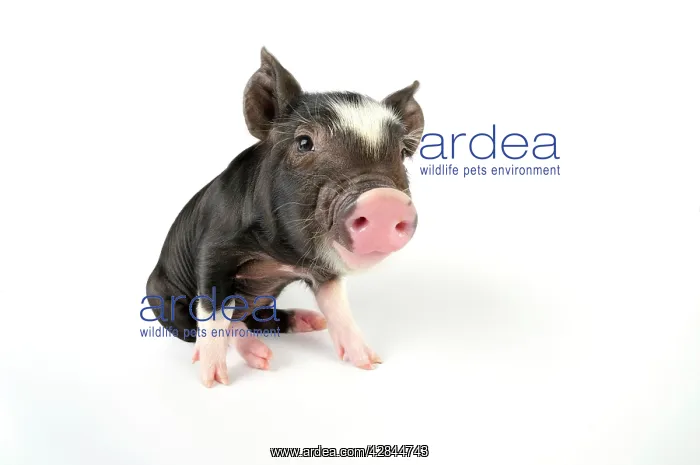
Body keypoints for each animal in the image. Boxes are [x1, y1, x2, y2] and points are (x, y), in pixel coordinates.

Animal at [146, 47, 424, 387]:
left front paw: (370, 362)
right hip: (162, 299)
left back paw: (308, 322)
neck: (281, 256)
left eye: (401, 153)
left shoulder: (324, 270)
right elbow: (213, 308)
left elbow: (337, 305)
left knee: (255, 318)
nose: (384, 201)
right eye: (304, 142)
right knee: (212, 321)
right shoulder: (213, 247)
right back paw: (262, 357)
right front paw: (213, 380)